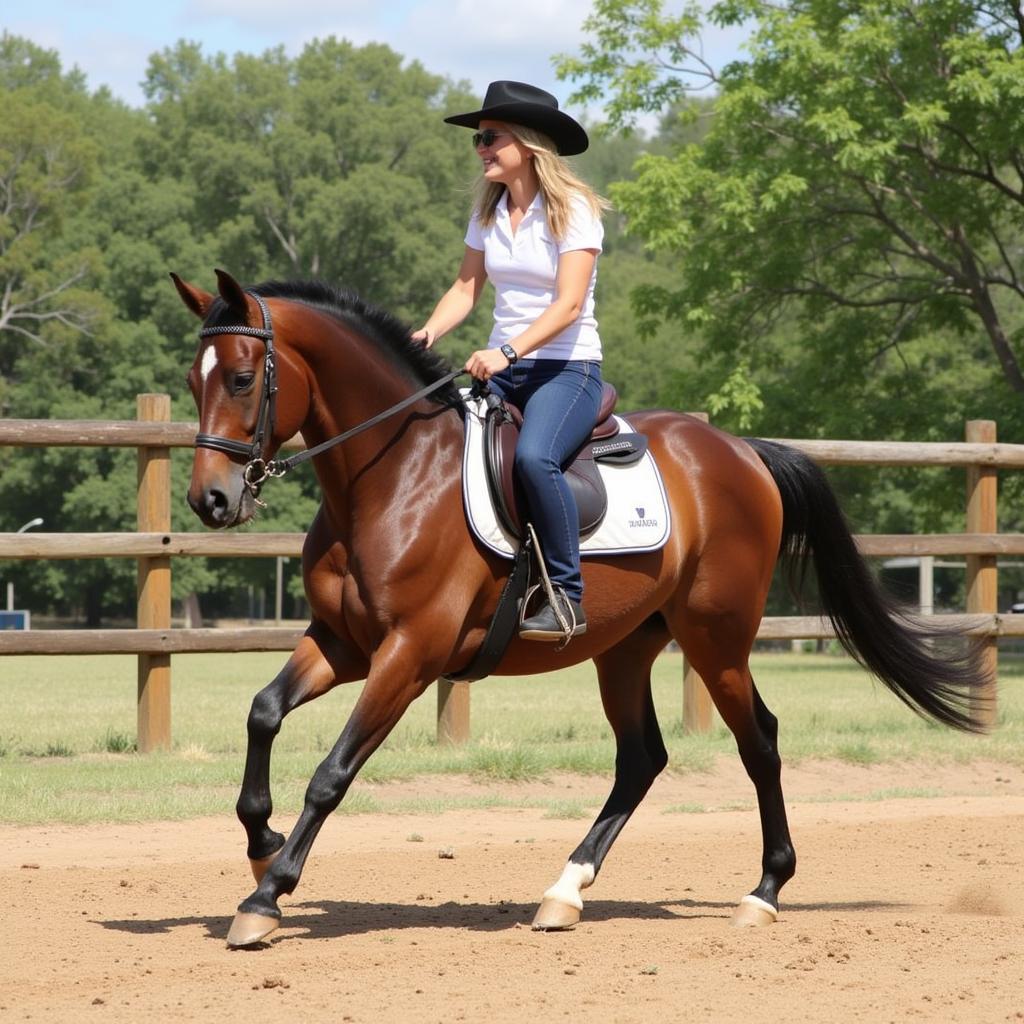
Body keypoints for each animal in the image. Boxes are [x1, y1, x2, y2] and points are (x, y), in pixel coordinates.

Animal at [174, 268, 983, 946]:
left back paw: (764, 891)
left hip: (716, 639)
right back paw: (566, 891)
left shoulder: (410, 654)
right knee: (642, 758)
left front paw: (267, 895)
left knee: (759, 741)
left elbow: (332, 772)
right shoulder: (343, 643)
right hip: (625, 647)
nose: (210, 500)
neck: (393, 475)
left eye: (241, 379)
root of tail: (741, 450)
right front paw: (261, 848)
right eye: (192, 379)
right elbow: (263, 713)